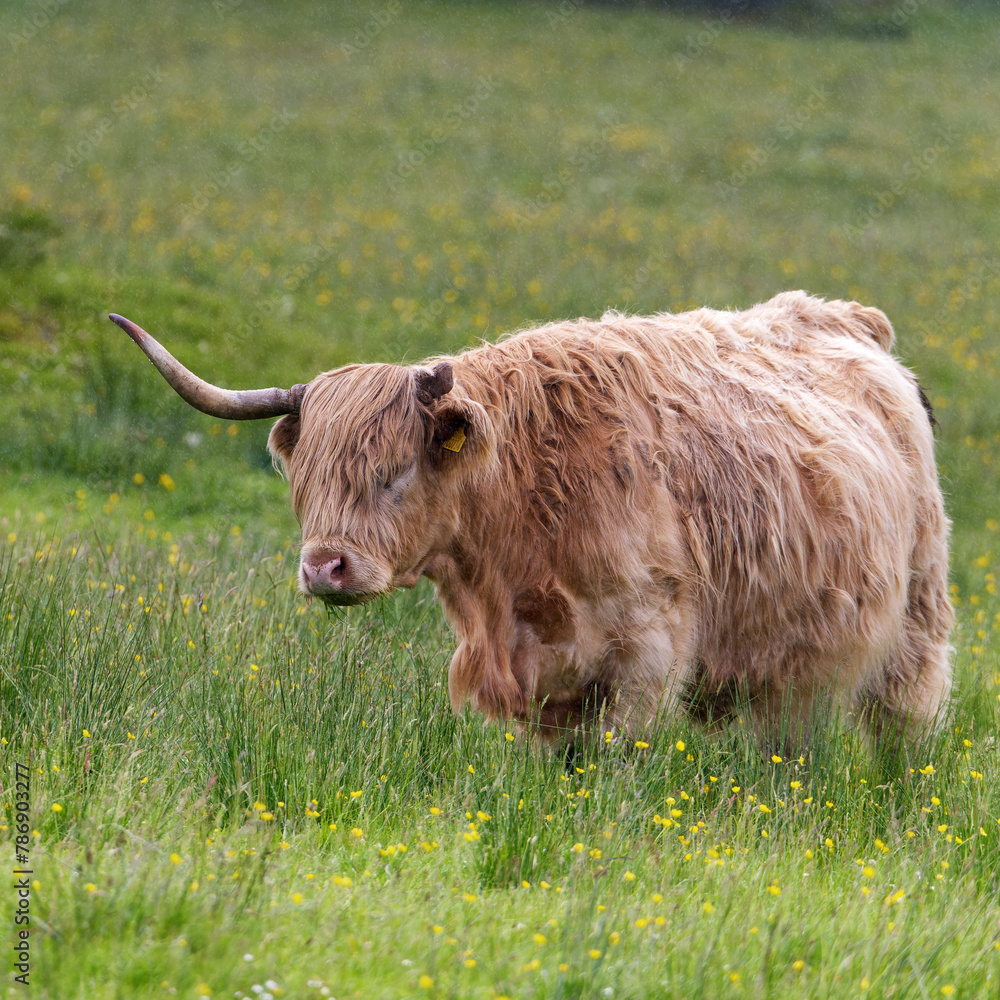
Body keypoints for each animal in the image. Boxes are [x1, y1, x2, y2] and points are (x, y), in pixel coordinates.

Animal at [110, 291, 953, 751]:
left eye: (394, 472)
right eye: (305, 480)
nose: (325, 568)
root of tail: (847, 319)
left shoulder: (645, 653)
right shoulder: (545, 679)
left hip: (917, 613)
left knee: (903, 722)